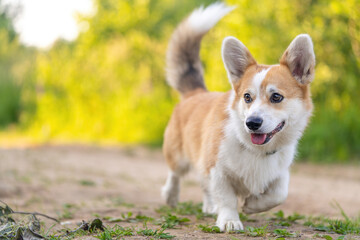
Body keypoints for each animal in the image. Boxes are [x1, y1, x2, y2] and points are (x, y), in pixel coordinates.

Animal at [161, 1, 316, 231]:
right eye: (247, 97)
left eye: (276, 97)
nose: (252, 123)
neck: (257, 151)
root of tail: (196, 92)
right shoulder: (218, 170)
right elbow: (226, 198)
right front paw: (230, 220)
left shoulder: (280, 173)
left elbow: (279, 194)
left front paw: (252, 205)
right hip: (179, 154)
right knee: (175, 174)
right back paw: (171, 196)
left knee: (203, 184)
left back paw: (209, 206)